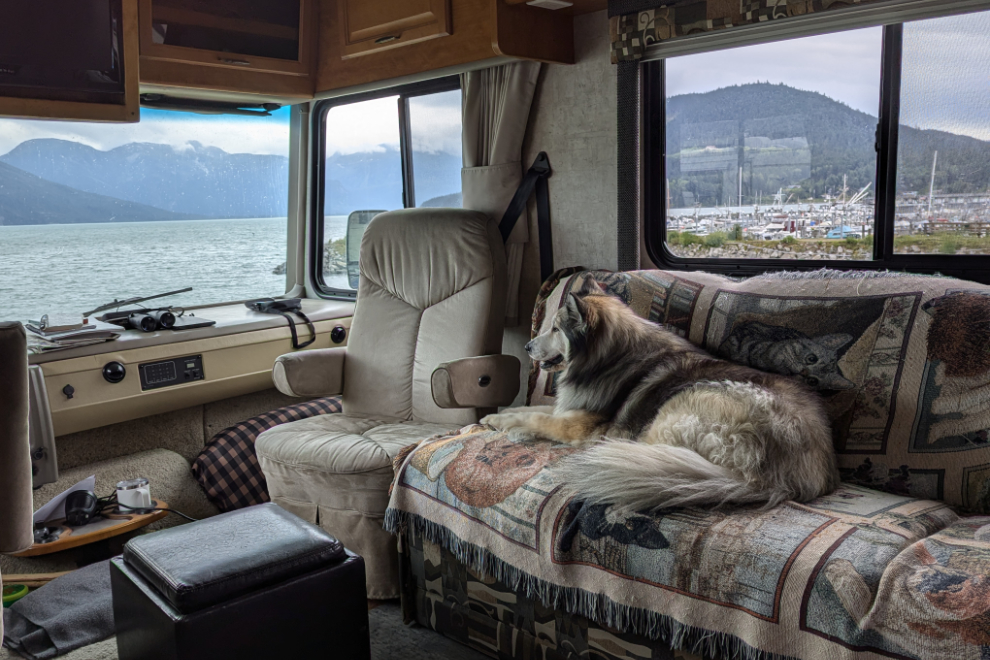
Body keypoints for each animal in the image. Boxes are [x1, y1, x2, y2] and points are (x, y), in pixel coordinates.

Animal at [484, 278, 840, 510]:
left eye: (556, 329)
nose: (527, 347)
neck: (608, 358)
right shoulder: (569, 409)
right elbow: (531, 410)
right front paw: (496, 416)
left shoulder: (580, 423)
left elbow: (537, 417)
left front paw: (509, 426)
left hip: (681, 406)